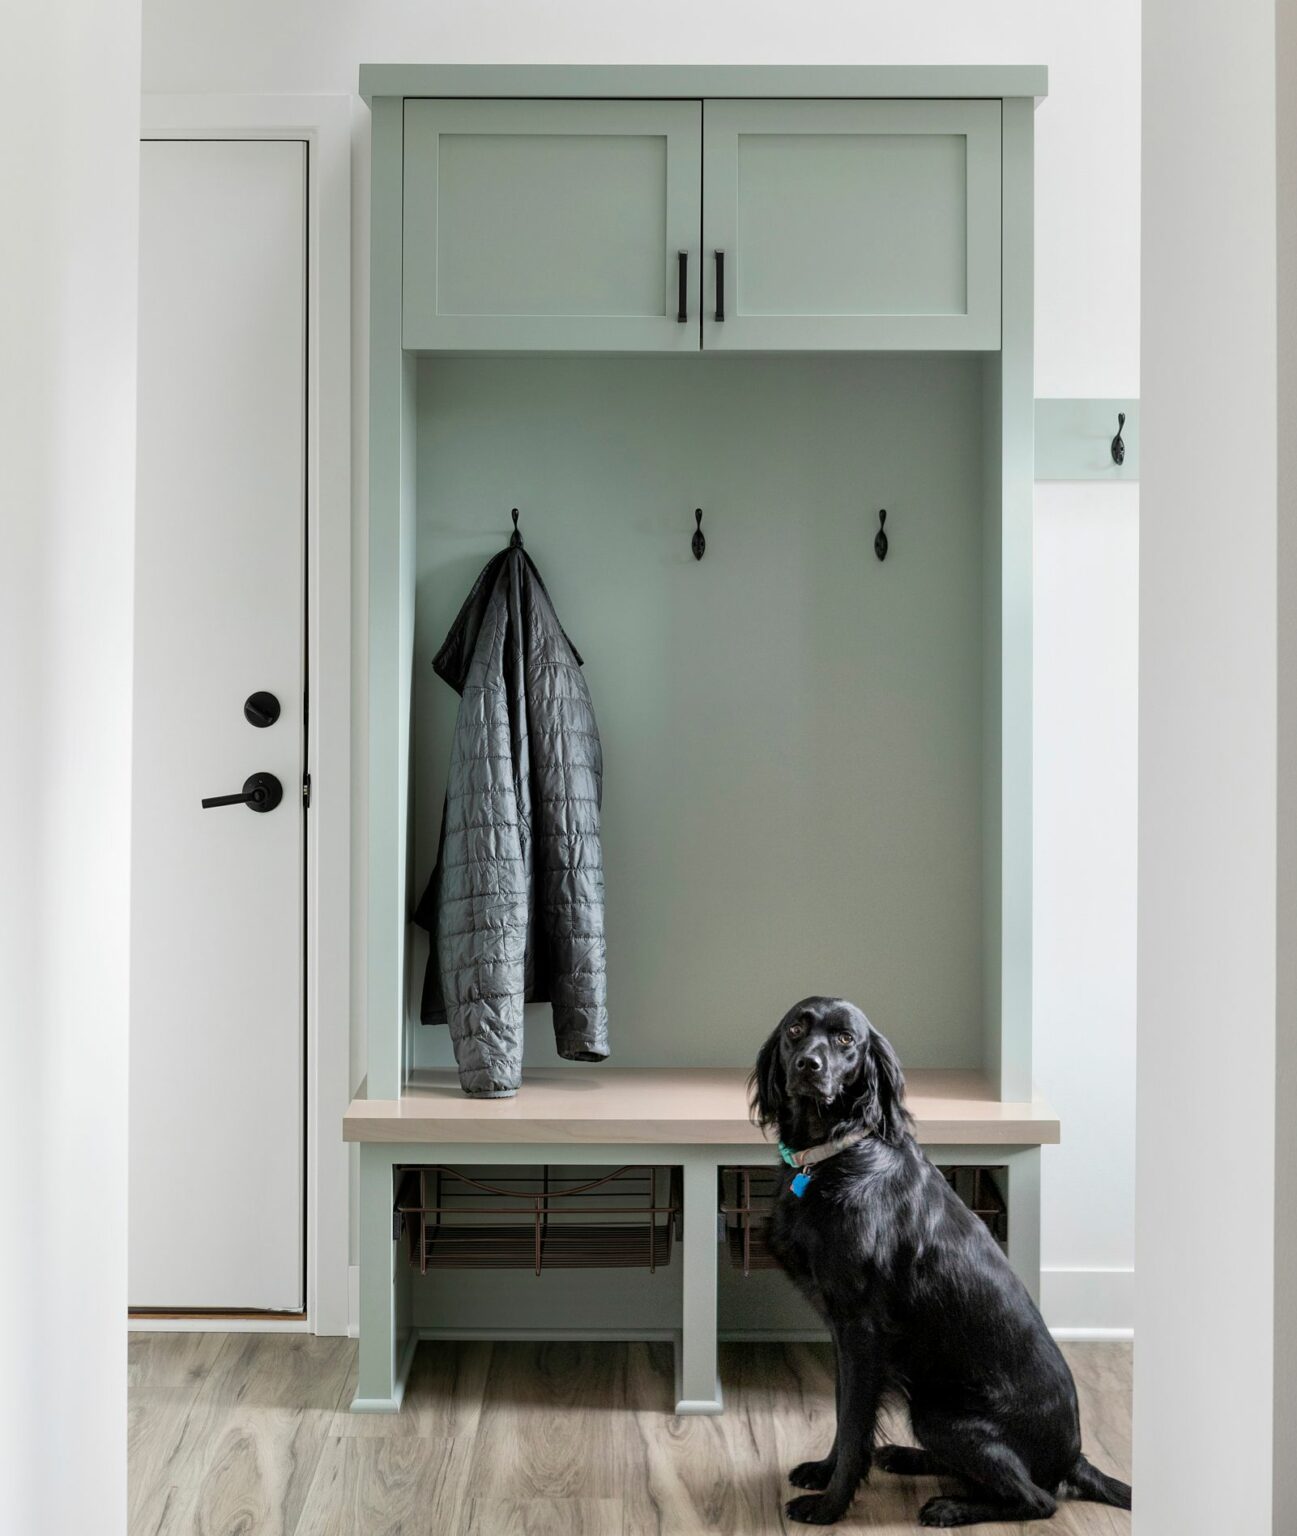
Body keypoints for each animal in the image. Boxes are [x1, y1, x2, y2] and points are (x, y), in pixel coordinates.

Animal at [756, 995, 1131, 1523]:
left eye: (846, 1039)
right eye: (795, 1029)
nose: (809, 1065)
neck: (834, 1158)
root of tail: (1073, 1457)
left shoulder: (862, 1329)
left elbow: (853, 1424)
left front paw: (830, 1505)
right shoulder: (840, 1329)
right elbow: (843, 1410)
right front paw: (823, 1472)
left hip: (937, 1415)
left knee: (1038, 1500)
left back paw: (951, 1508)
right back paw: (906, 1456)